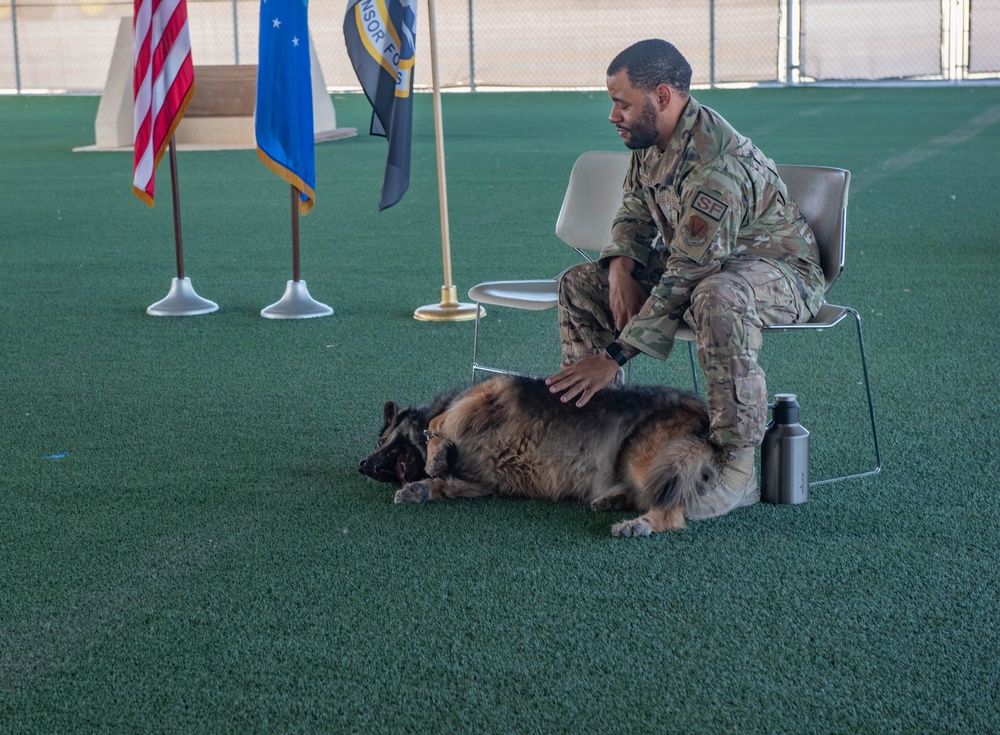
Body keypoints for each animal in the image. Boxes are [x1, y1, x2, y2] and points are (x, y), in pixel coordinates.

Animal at [360, 376, 720, 536]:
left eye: (382, 440)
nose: (362, 465)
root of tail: (703, 415)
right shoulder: (483, 483)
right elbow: (447, 484)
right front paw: (422, 488)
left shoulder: (486, 397)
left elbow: (437, 423)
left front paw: (435, 453)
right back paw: (615, 499)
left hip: (644, 456)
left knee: (673, 510)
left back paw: (640, 524)